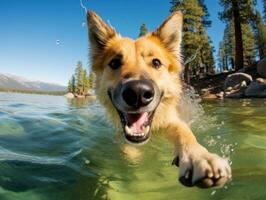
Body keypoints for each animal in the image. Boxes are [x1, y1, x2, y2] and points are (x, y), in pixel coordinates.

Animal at [87, 9, 231, 188]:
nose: (138, 93)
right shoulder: (121, 134)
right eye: (114, 63)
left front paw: (199, 157)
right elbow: (125, 147)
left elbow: (184, 131)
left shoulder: (171, 122)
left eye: (156, 62)